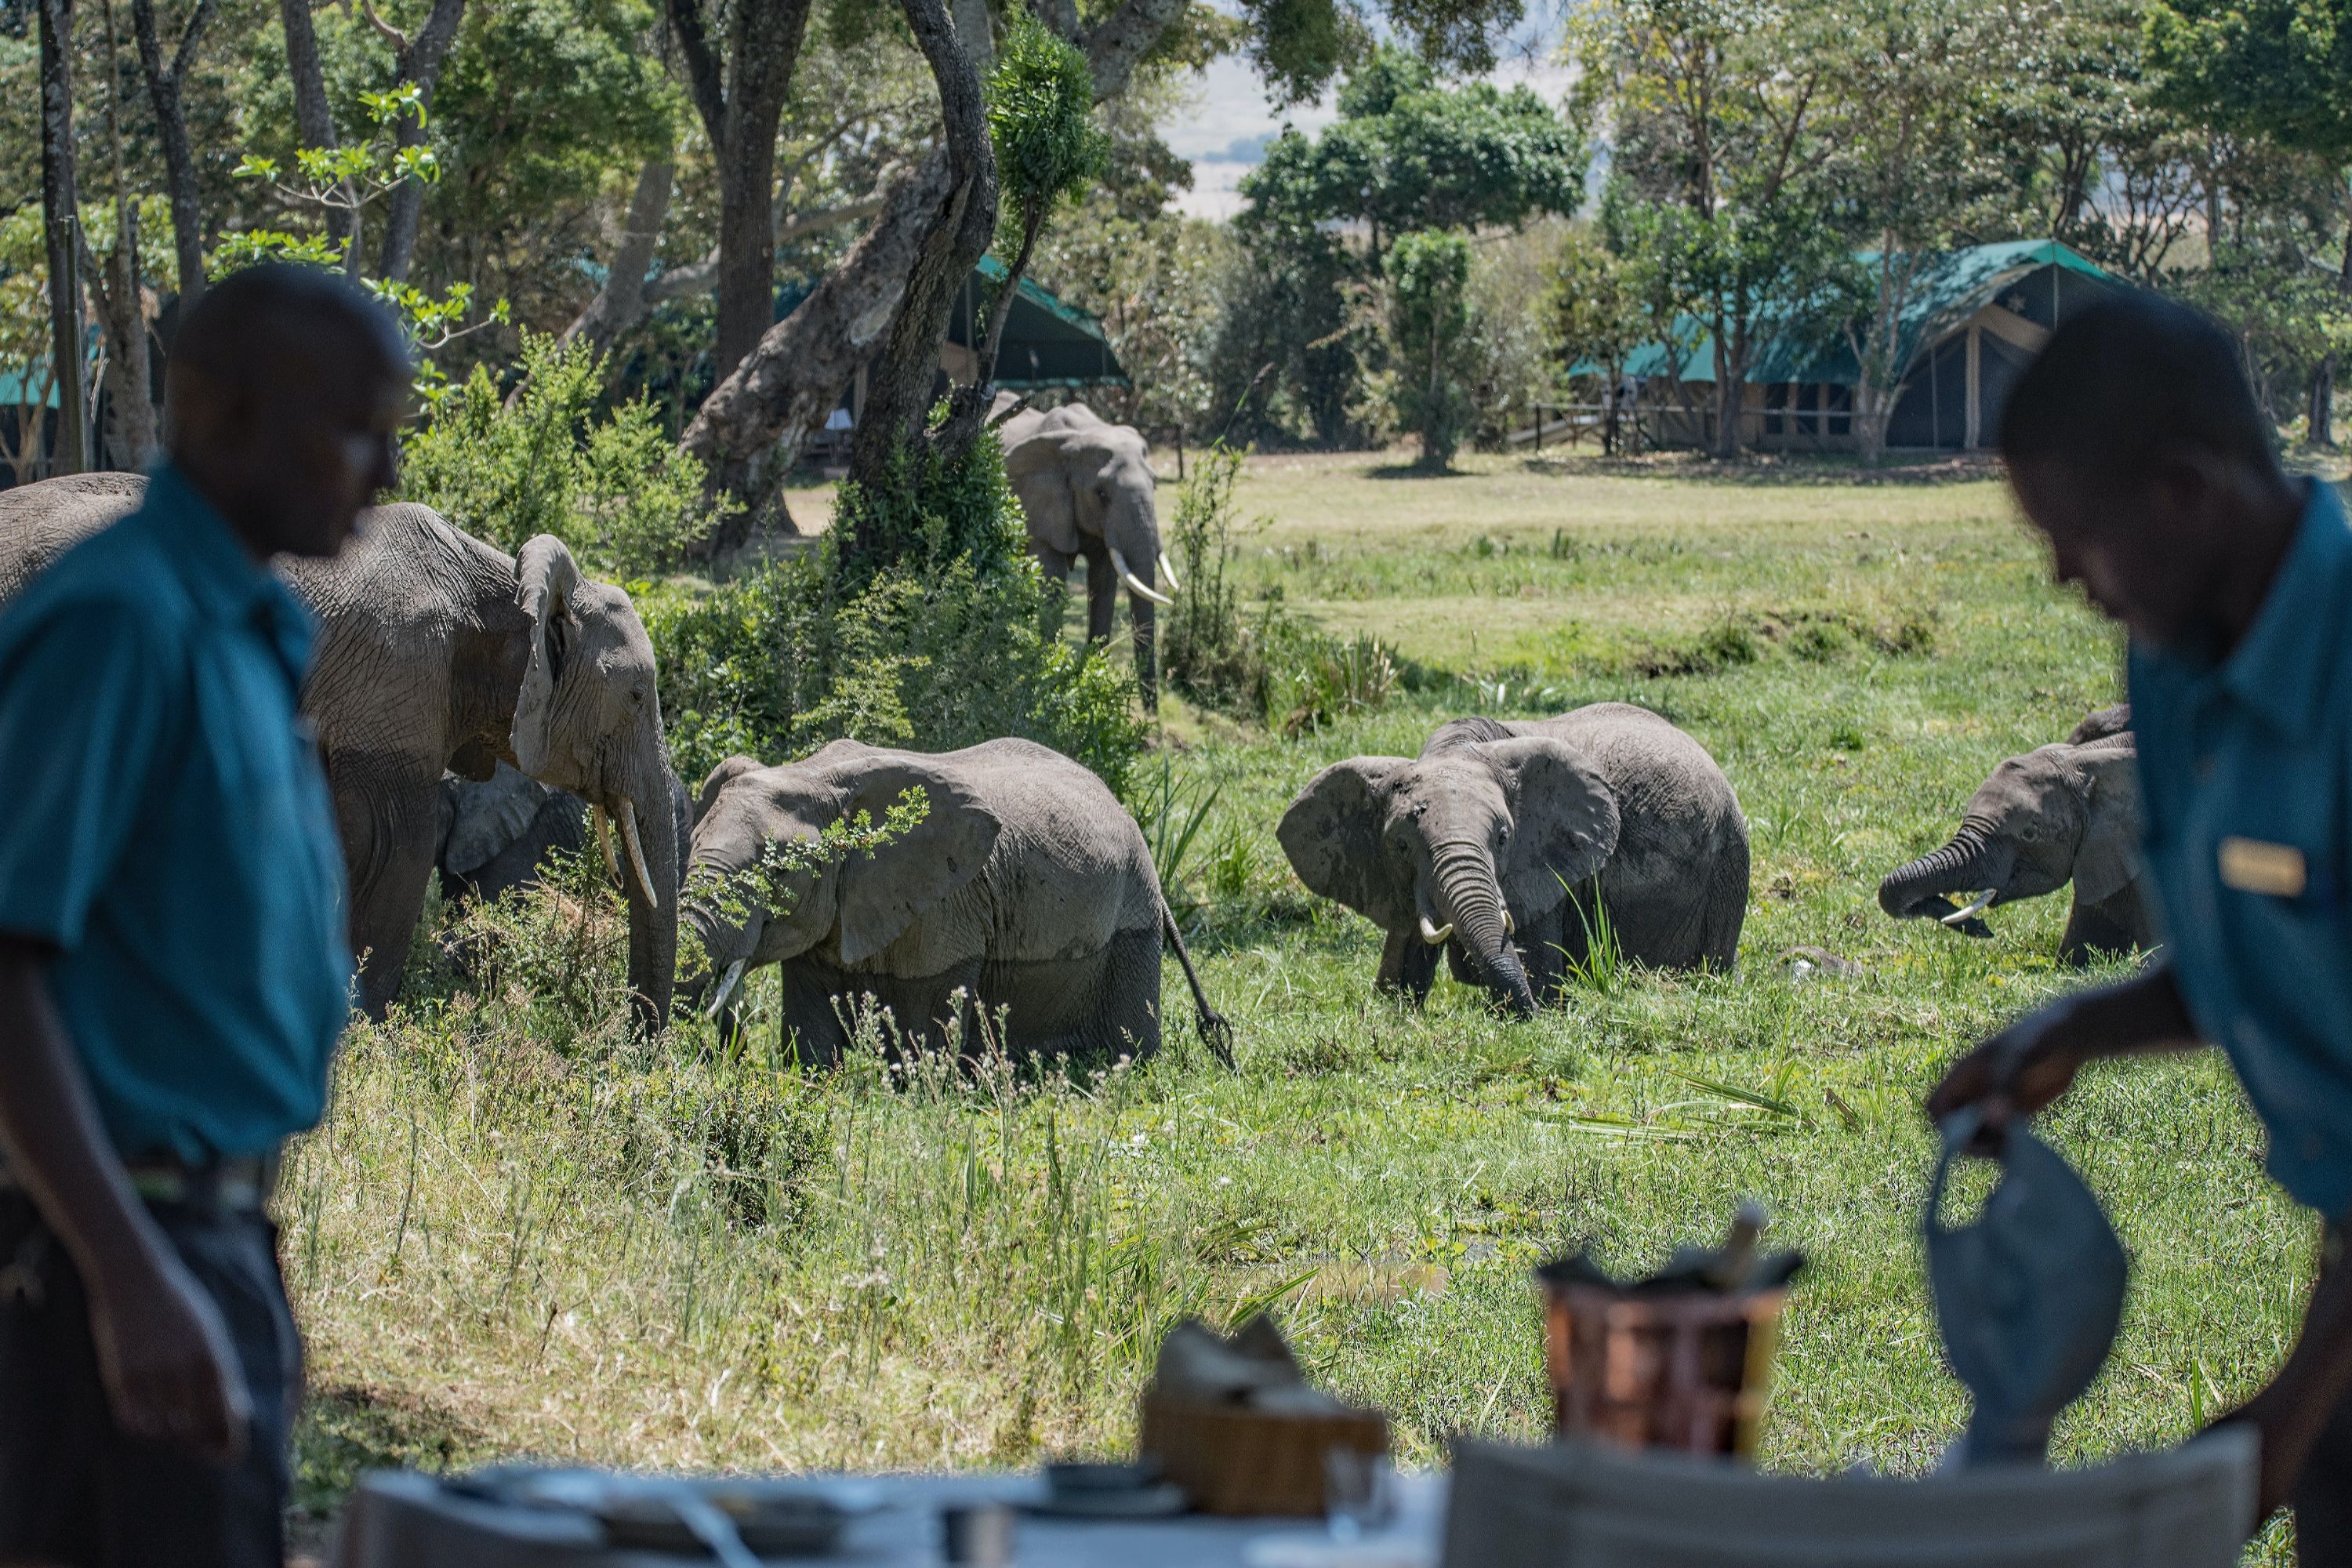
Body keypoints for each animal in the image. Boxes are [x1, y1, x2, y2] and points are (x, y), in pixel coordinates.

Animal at [0, 474, 682, 1025]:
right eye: (636, 696)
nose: (637, 1039)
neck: (504, 587)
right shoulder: (396, 683)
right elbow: (394, 850)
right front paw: (364, 1034)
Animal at [682, 737, 1231, 1067]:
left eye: (778, 873)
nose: (728, 1049)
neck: (810, 775)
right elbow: (811, 1024)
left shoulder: (947, 904)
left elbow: (929, 1016)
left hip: (1132, 912)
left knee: (1128, 1041)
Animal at [999, 402, 1176, 706]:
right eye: (1101, 493)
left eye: (1155, 485)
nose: (1151, 714)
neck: (1079, 436)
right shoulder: (1041, 507)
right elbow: (1051, 579)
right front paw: (1046, 679)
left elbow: (1104, 583)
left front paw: (1094, 679)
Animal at [1278, 703, 1750, 1016]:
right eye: (1401, 845)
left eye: (1503, 838)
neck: (1461, 748)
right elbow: (1403, 956)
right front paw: (1393, 1009)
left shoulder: (1545, 869)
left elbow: (1537, 962)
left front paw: (1537, 1007)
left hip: (1729, 861)